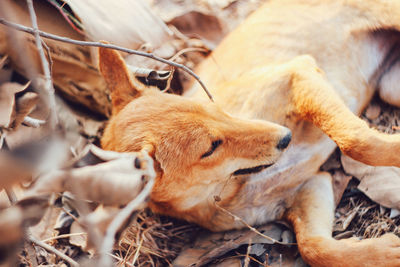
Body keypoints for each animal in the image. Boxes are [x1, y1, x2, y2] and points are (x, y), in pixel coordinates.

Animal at [99, 1, 400, 266]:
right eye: (211, 148)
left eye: (212, 107)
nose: (286, 137)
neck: (232, 186)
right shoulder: (309, 187)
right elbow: (314, 248)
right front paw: (383, 253)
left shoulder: (297, 71)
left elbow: (355, 140)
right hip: (390, 88)